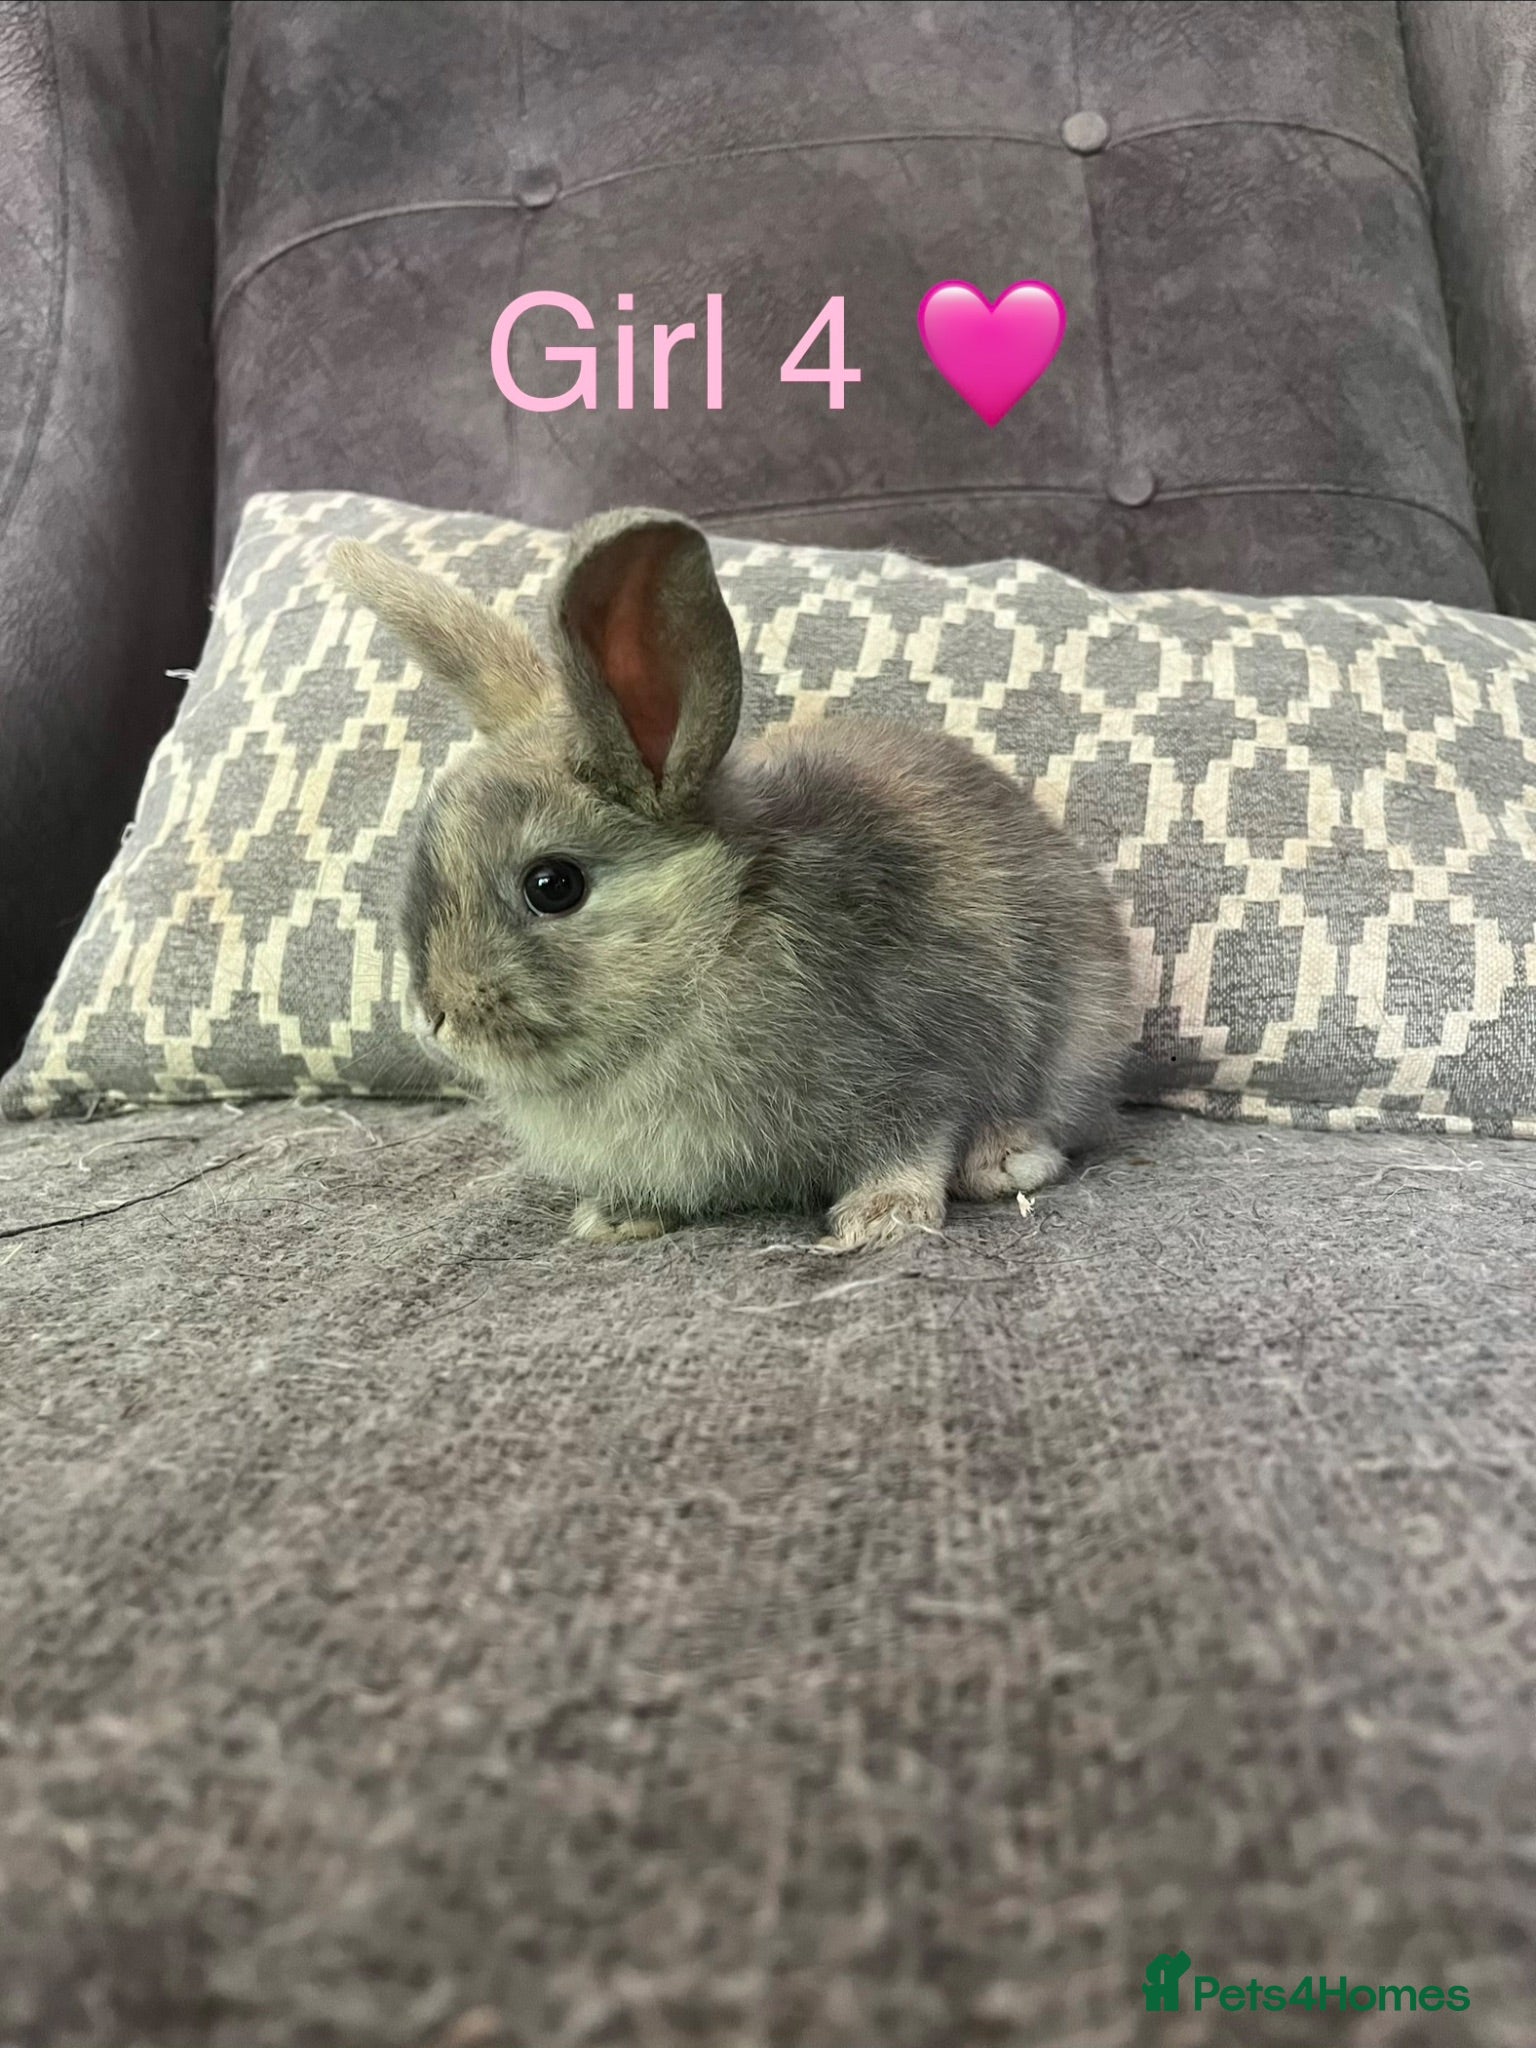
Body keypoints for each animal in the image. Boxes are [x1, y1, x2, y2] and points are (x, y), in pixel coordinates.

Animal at [329, 510, 1135, 1252]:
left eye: (552, 885)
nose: (434, 1016)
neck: (712, 941)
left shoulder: (919, 1058)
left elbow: (913, 1142)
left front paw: (880, 1219)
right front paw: (614, 1218)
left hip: (1080, 1039)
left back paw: (1005, 1161)